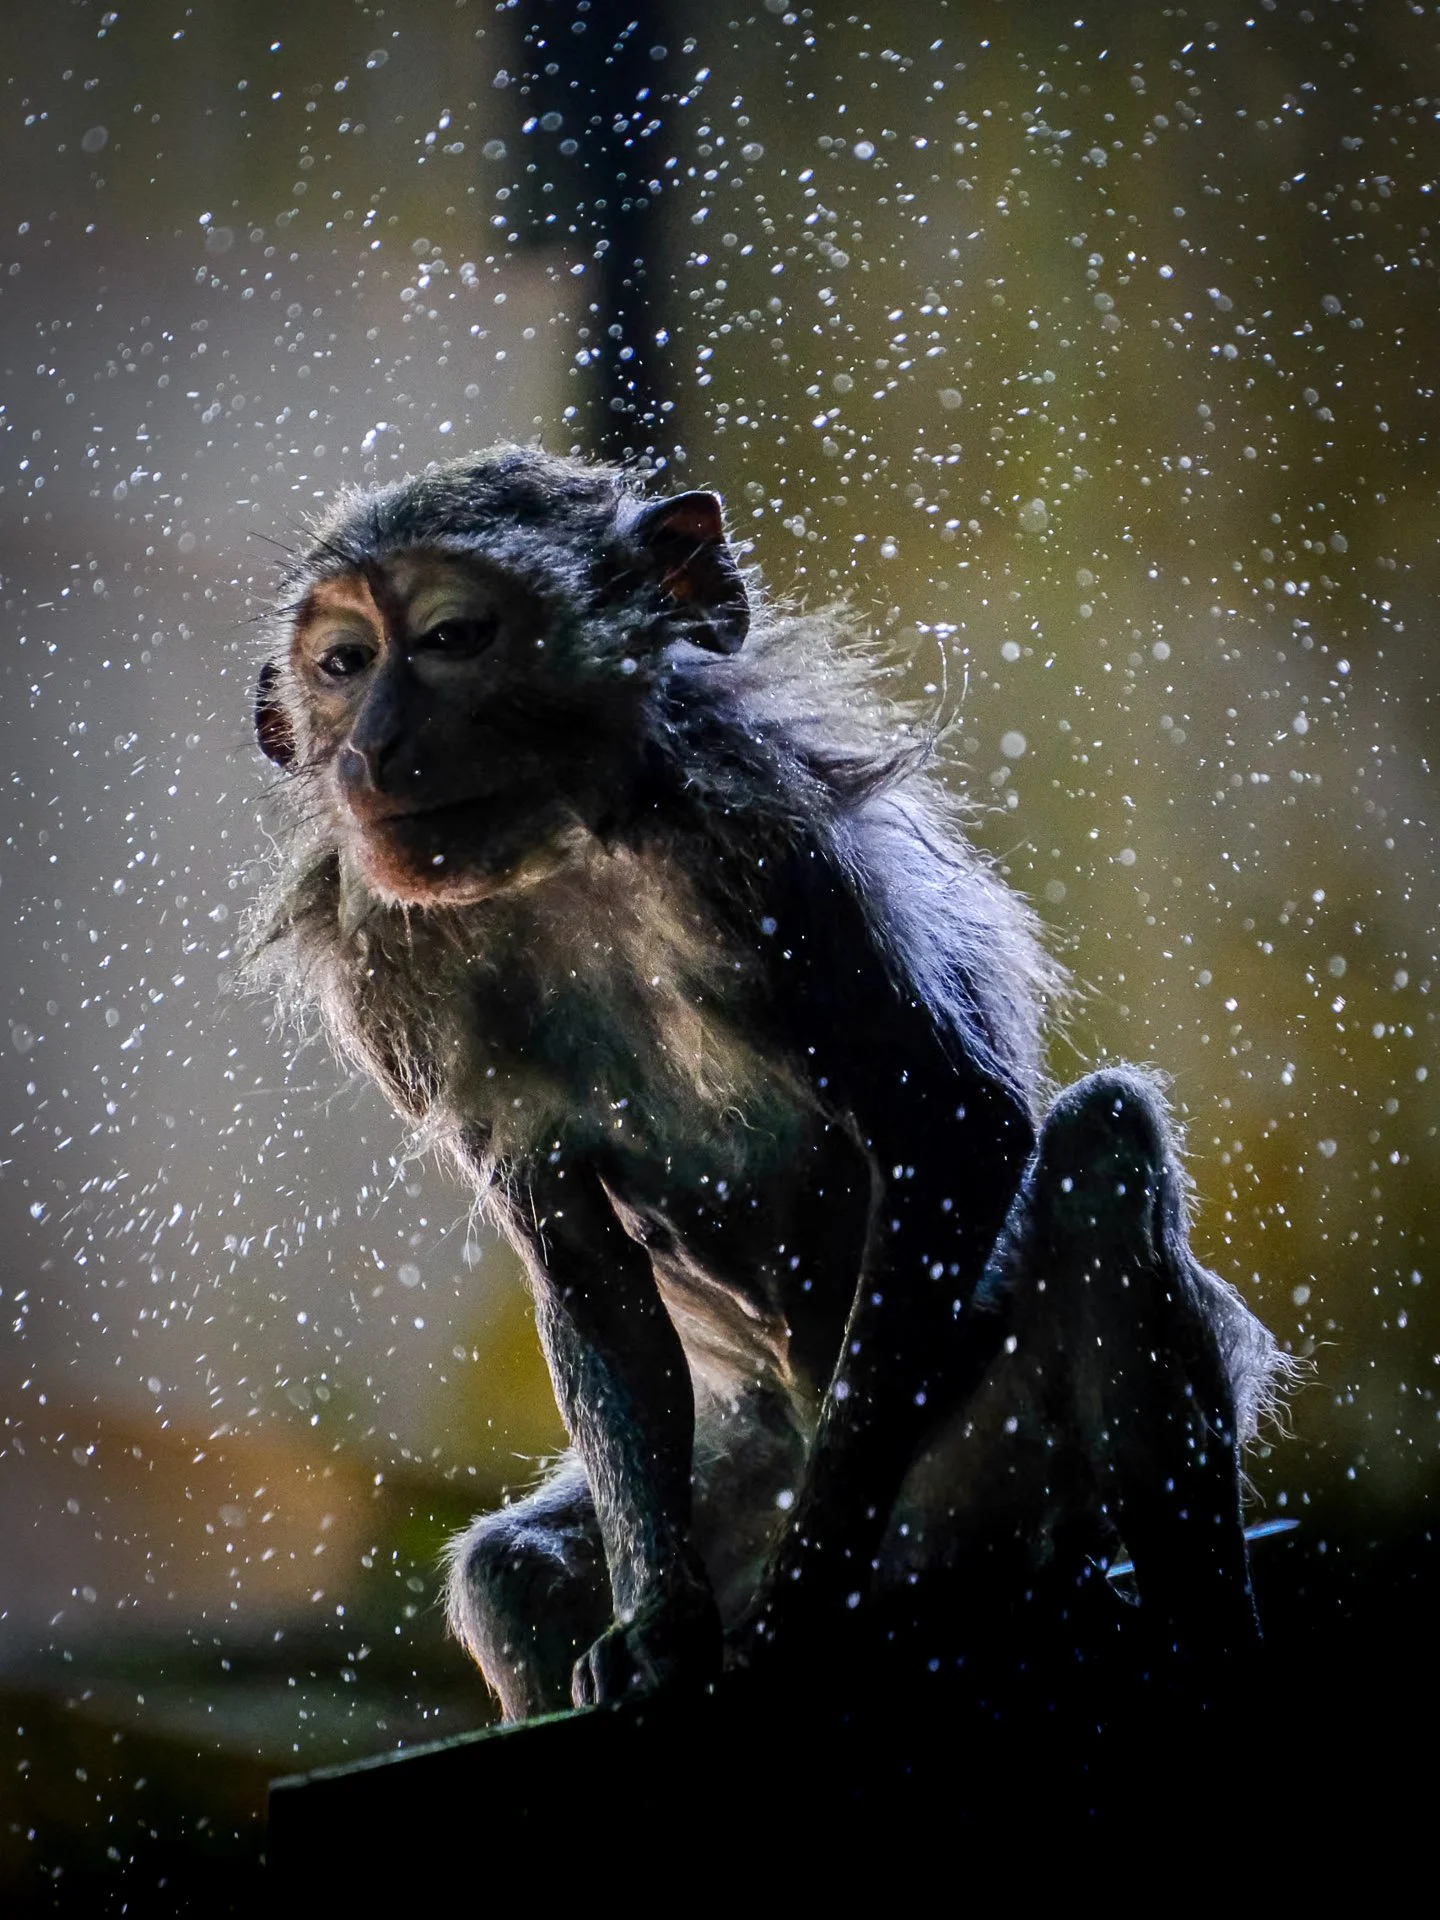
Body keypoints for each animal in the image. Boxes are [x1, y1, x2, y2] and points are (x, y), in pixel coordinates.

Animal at [246, 445, 1285, 1723]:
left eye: (453, 638)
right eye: (344, 665)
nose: (374, 746)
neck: (573, 861)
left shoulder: (771, 851)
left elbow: (948, 1128)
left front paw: (811, 1596)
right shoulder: (396, 979)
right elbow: (585, 1267)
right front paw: (656, 1626)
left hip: (995, 1470)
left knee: (1100, 1146)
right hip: (740, 1479)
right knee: (513, 1572)